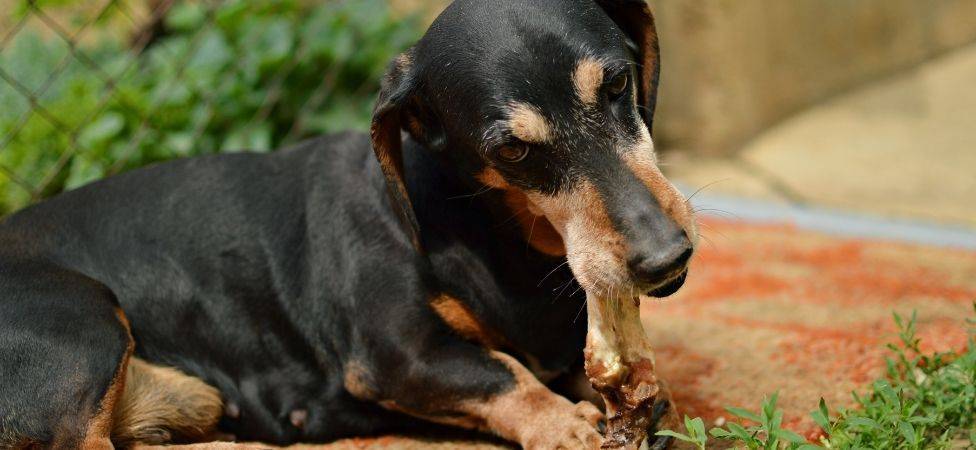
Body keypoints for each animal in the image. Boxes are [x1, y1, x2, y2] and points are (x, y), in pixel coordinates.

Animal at [0, 0, 692, 448]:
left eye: (619, 81)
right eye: (513, 150)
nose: (666, 258)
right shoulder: (397, 354)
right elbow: (504, 373)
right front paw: (565, 422)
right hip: (84, 320)